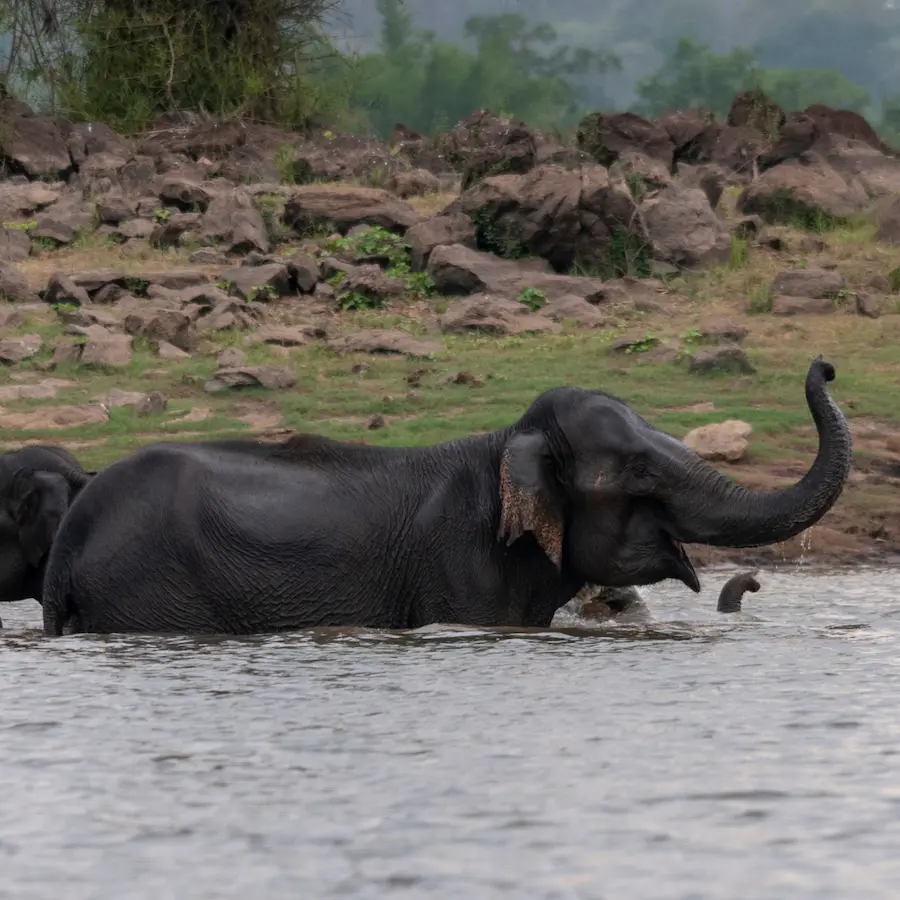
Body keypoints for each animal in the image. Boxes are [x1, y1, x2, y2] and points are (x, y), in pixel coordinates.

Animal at [41, 357, 851, 636]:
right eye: (639, 476)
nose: (827, 366)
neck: (505, 444)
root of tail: (71, 538)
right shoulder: (460, 563)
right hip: (152, 590)